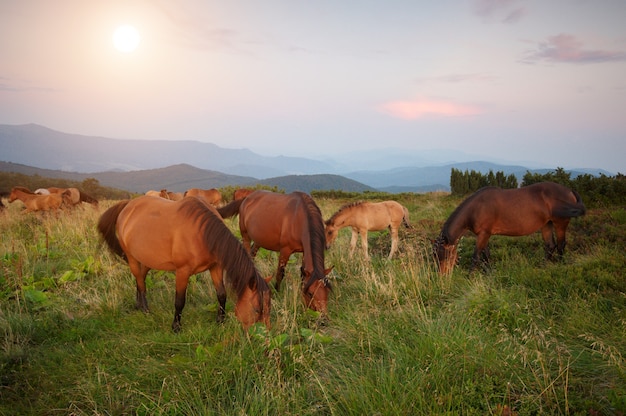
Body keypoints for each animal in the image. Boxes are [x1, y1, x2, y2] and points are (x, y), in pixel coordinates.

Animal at [96, 195, 270, 332]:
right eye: (256, 310)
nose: (264, 335)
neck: (203, 232)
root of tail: (128, 205)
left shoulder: (215, 267)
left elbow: (221, 294)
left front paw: (220, 320)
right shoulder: (182, 272)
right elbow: (179, 301)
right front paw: (176, 327)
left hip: (146, 259)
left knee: (141, 279)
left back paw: (138, 304)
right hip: (132, 258)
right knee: (139, 279)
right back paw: (145, 309)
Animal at [432, 181, 584, 272]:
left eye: (444, 256)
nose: (442, 277)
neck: (476, 208)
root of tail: (570, 191)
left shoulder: (484, 234)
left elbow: (476, 256)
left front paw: (470, 276)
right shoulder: (484, 234)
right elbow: (486, 255)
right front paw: (489, 272)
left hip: (560, 223)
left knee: (561, 244)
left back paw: (560, 265)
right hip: (547, 224)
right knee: (550, 246)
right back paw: (543, 266)